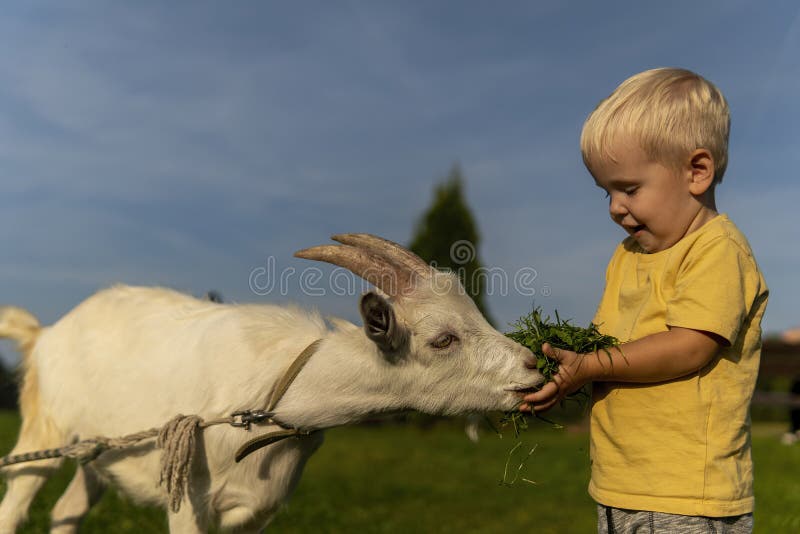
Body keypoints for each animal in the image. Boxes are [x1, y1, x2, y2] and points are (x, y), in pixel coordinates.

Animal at [0, 237, 544, 532]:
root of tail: (45, 334)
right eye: (443, 339)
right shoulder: (189, 502)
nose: (532, 368)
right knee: (16, 505)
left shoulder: (258, 510)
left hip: (99, 453)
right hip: (45, 430)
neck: (266, 398)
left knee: (67, 510)